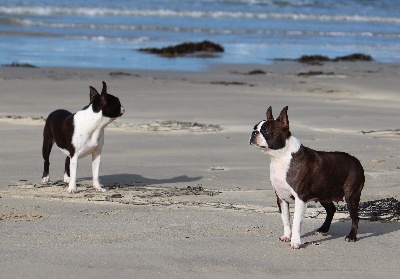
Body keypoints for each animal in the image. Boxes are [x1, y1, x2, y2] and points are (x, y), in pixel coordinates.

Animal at [250, 106, 366, 249]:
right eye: (255, 128)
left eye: (266, 130)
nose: (253, 133)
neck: (281, 157)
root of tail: (356, 161)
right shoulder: (281, 198)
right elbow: (286, 219)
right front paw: (287, 236)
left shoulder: (300, 198)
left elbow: (296, 221)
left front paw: (295, 242)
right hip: (323, 193)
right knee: (331, 209)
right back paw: (323, 229)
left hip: (351, 196)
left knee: (355, 217)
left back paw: (352, 236)